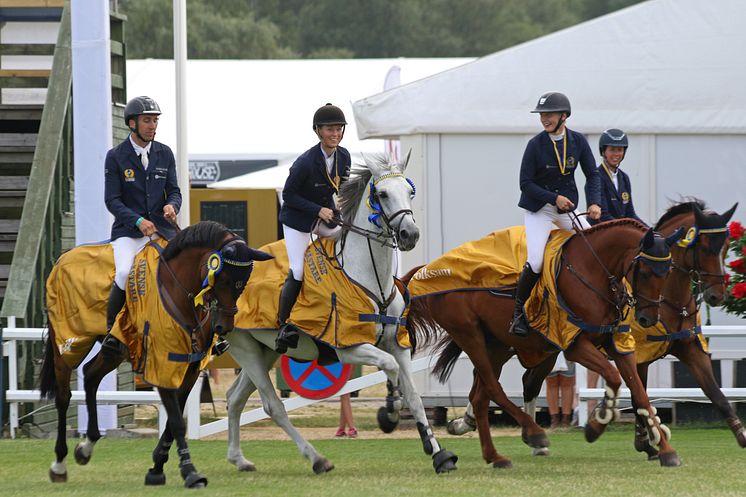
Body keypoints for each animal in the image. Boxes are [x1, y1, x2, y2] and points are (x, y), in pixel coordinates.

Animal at [37, 221, 270, 484]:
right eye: (222, 279)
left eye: (244, 281)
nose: (223, 327)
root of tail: (62, 259)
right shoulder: (161, 364)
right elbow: (177, 422)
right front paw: (189, 472)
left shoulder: (190, 367)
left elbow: (173, 420)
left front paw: (157, 466)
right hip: (68, 343)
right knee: (63, 396)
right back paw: (59, 463)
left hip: (114, 351)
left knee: (91, 375)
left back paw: (87, 446)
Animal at [221, 154, 456, 472]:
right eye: (383, 194)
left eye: (410, 192)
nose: (411, 234)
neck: (370, 279)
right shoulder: (351, 348)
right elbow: (390, 368)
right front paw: (389, 413)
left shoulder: (398, 344)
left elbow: (415, 397)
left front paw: (438, 453)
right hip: (245, 348)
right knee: (273, 405)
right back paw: (316, 458)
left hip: (263, 351)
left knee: (235, 398)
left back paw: (239, 458)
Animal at [404, 219, 684, 466]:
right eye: (645, 272)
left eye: (668, 271)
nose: (648, 318)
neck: (591, 271)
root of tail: (426, 271)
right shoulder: (575, 346)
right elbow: (613, 378)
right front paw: (597, 423)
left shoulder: (618, 344)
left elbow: (640, 395)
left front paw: (665, 450)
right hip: (469, 335)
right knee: (493, 388)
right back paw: (534, 433)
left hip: (496, 345)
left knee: (482, 395)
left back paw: (495, 455)